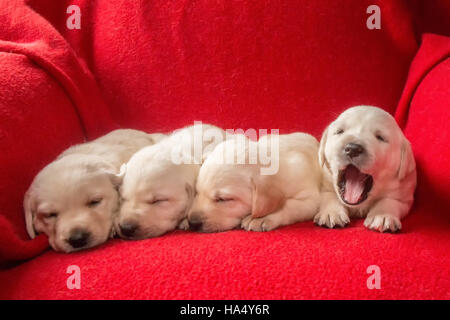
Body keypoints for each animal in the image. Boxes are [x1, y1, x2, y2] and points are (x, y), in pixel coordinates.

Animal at [188, 132, 322, 232]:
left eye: (223, 199)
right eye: (197, 193)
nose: (192, 222)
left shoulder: (311, 199)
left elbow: (290, 205)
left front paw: (259, 218)